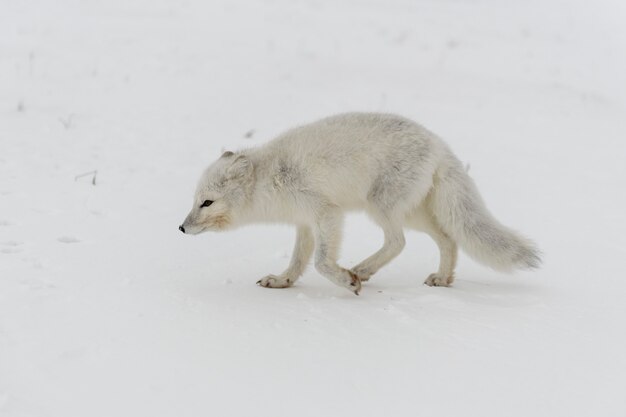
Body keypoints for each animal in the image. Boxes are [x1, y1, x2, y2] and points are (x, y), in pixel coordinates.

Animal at [178, 112, 540, 294]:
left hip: (380, 206)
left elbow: (321, 262)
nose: (181, 227)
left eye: (207, 202)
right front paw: (282, 281)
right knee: (448, 239)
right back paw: (442, 278)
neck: (271, 177)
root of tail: (439, 144)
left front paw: (345, 280)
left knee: (398, 242)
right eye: (195, 201)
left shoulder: (327, 213)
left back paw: (362, 271)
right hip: (415, 213)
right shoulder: (304, 222)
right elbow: (298, 260)